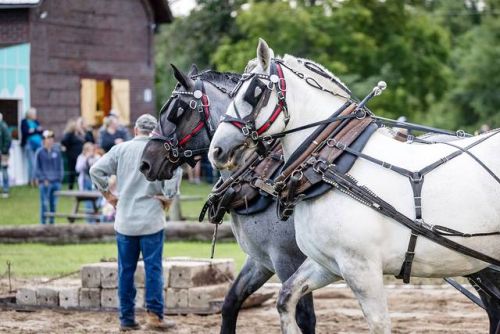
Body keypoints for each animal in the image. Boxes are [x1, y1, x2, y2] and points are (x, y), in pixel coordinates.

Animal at [139, 66, 314, 334]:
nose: (146, 163)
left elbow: (305, 317)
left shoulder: (288, 259)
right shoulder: (261, 260)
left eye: (178, 110)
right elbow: (231, 301)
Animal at [208, 39, 500, 334]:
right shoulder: (325, 263)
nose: (217, 150)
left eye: (254, 92)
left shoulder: (359, 267)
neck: (335, 168)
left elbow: (378, 324)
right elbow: (286, 298)